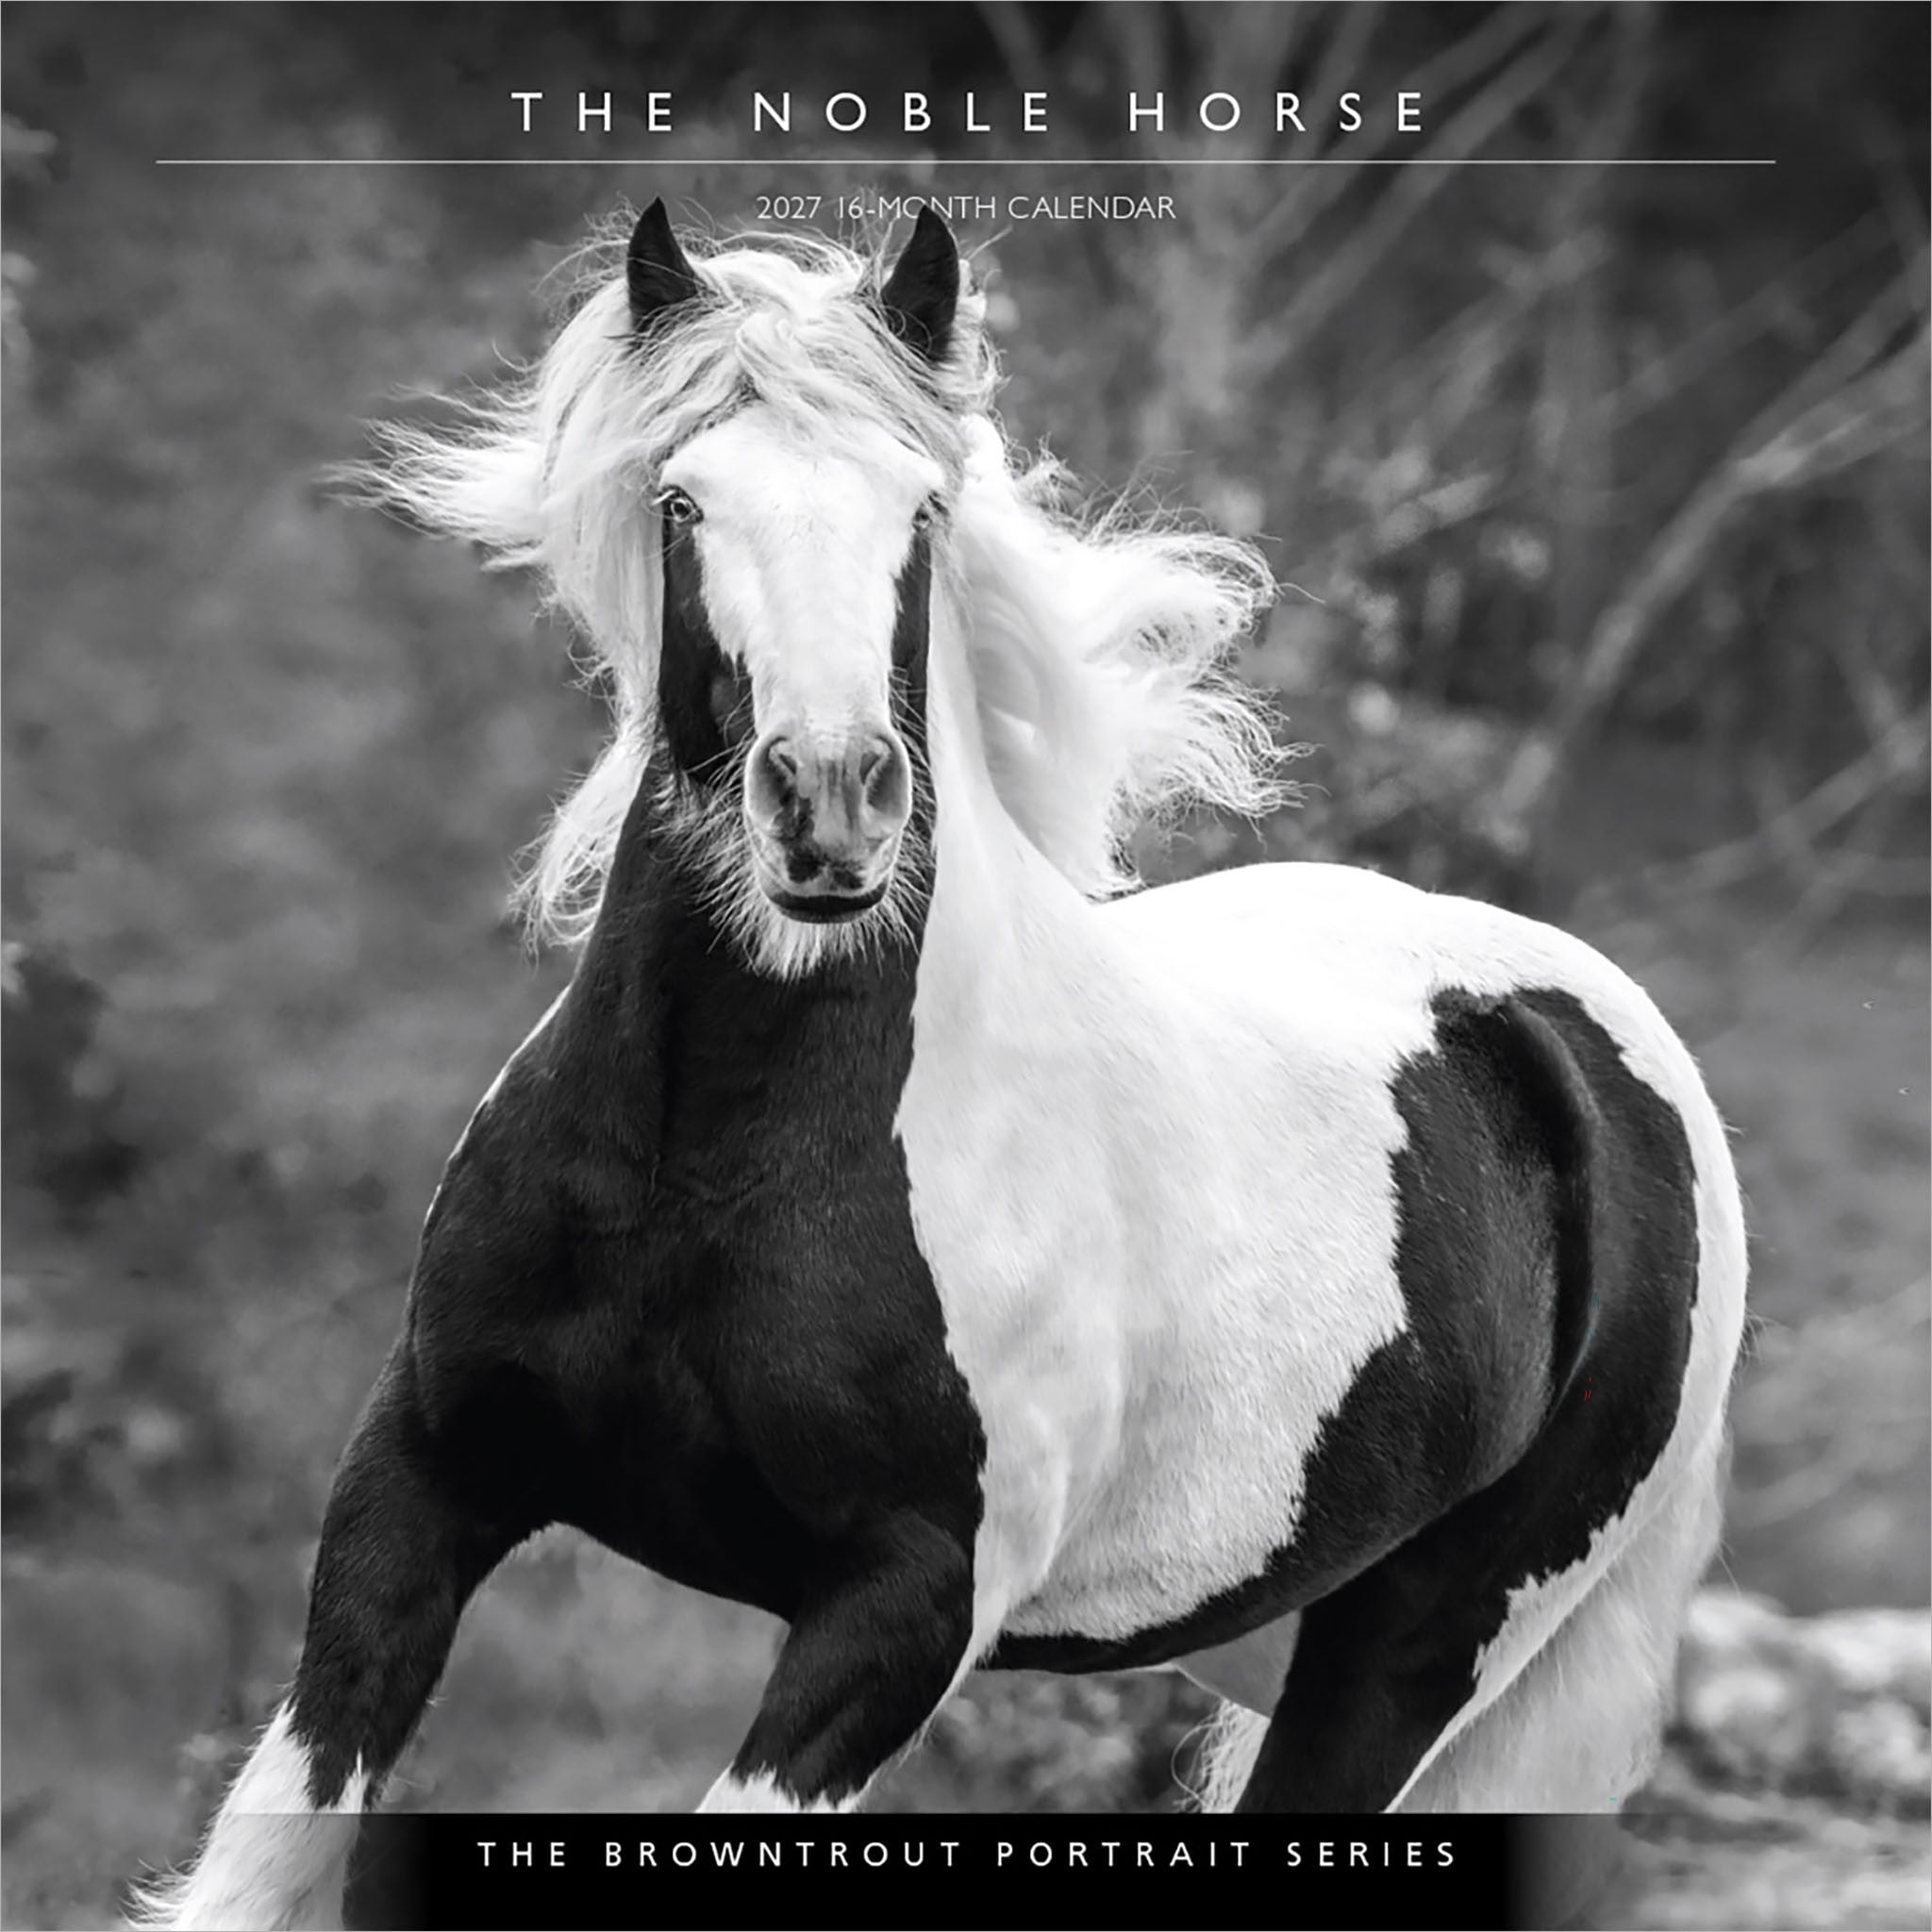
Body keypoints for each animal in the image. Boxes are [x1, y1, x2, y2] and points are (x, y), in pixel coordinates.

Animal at [131, 199, 1747, 1930]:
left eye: (919, 505)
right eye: (684, 498)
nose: (831, 804)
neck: (711, 1150)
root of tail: (1597, 1044)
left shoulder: (900, 1614)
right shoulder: (419, 1480)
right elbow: (257, 1857)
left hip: (1425, 1643)